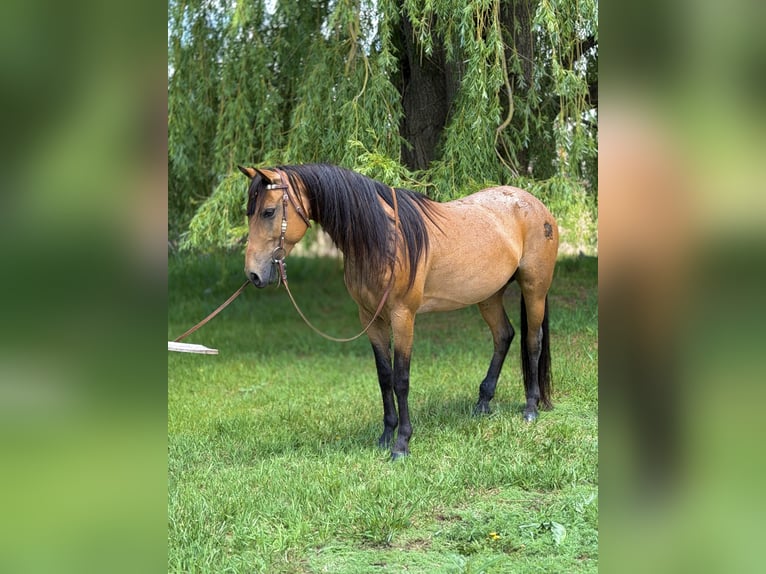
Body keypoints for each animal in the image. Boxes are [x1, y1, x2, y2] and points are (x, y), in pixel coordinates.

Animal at [237, 163, 559, 459]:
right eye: (249, 212)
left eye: (268, 212)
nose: (253, 274)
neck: (383, 239)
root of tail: (537, 206)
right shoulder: (371, 318)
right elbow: (384, 376)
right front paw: (385, 436)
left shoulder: (403, 316)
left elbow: (401, 379)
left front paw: (402, 443)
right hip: (489, 296)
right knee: (504, 335)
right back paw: (483, 402)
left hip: (534, 289)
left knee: (533, 342)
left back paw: (531, 408)